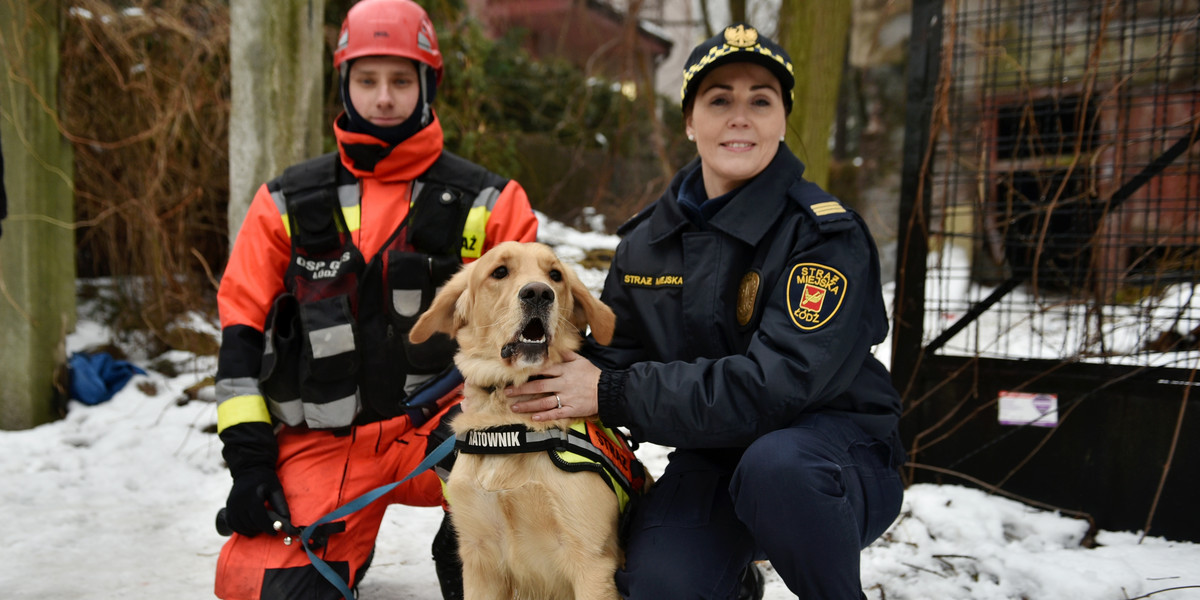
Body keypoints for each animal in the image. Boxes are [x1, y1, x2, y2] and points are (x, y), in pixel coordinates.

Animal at [405, 240, 648, 600]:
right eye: (499, 272)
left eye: (556, 275)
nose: (539, 293)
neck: (509, 425)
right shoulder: (479, 560)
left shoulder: (592, 562)